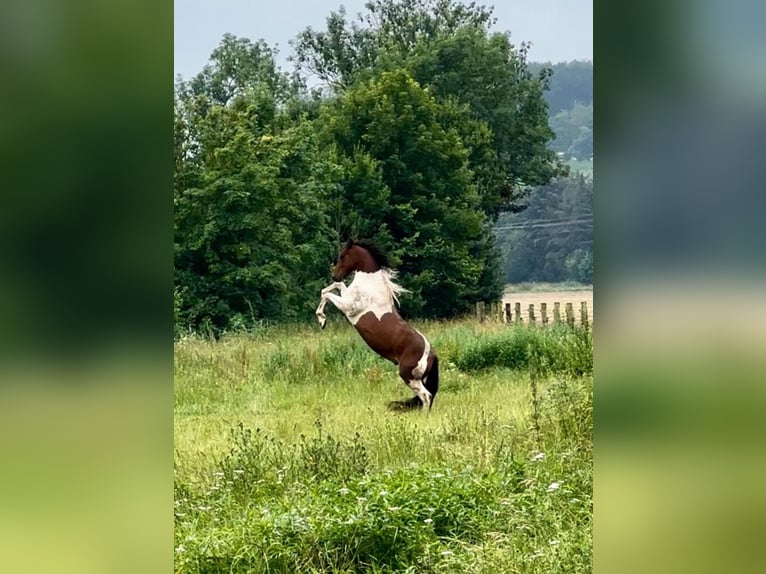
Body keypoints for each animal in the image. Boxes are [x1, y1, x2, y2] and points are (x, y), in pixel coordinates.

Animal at [316, 241, 440, 412]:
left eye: (342, 256)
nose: (335, 275)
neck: (370, 286)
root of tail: (432, 355)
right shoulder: (346, 295)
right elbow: (333, 287)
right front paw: (322, 320)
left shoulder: (349, 307)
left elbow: (327, 294)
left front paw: (321, 319)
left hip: (408, 376)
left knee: (426, 396)